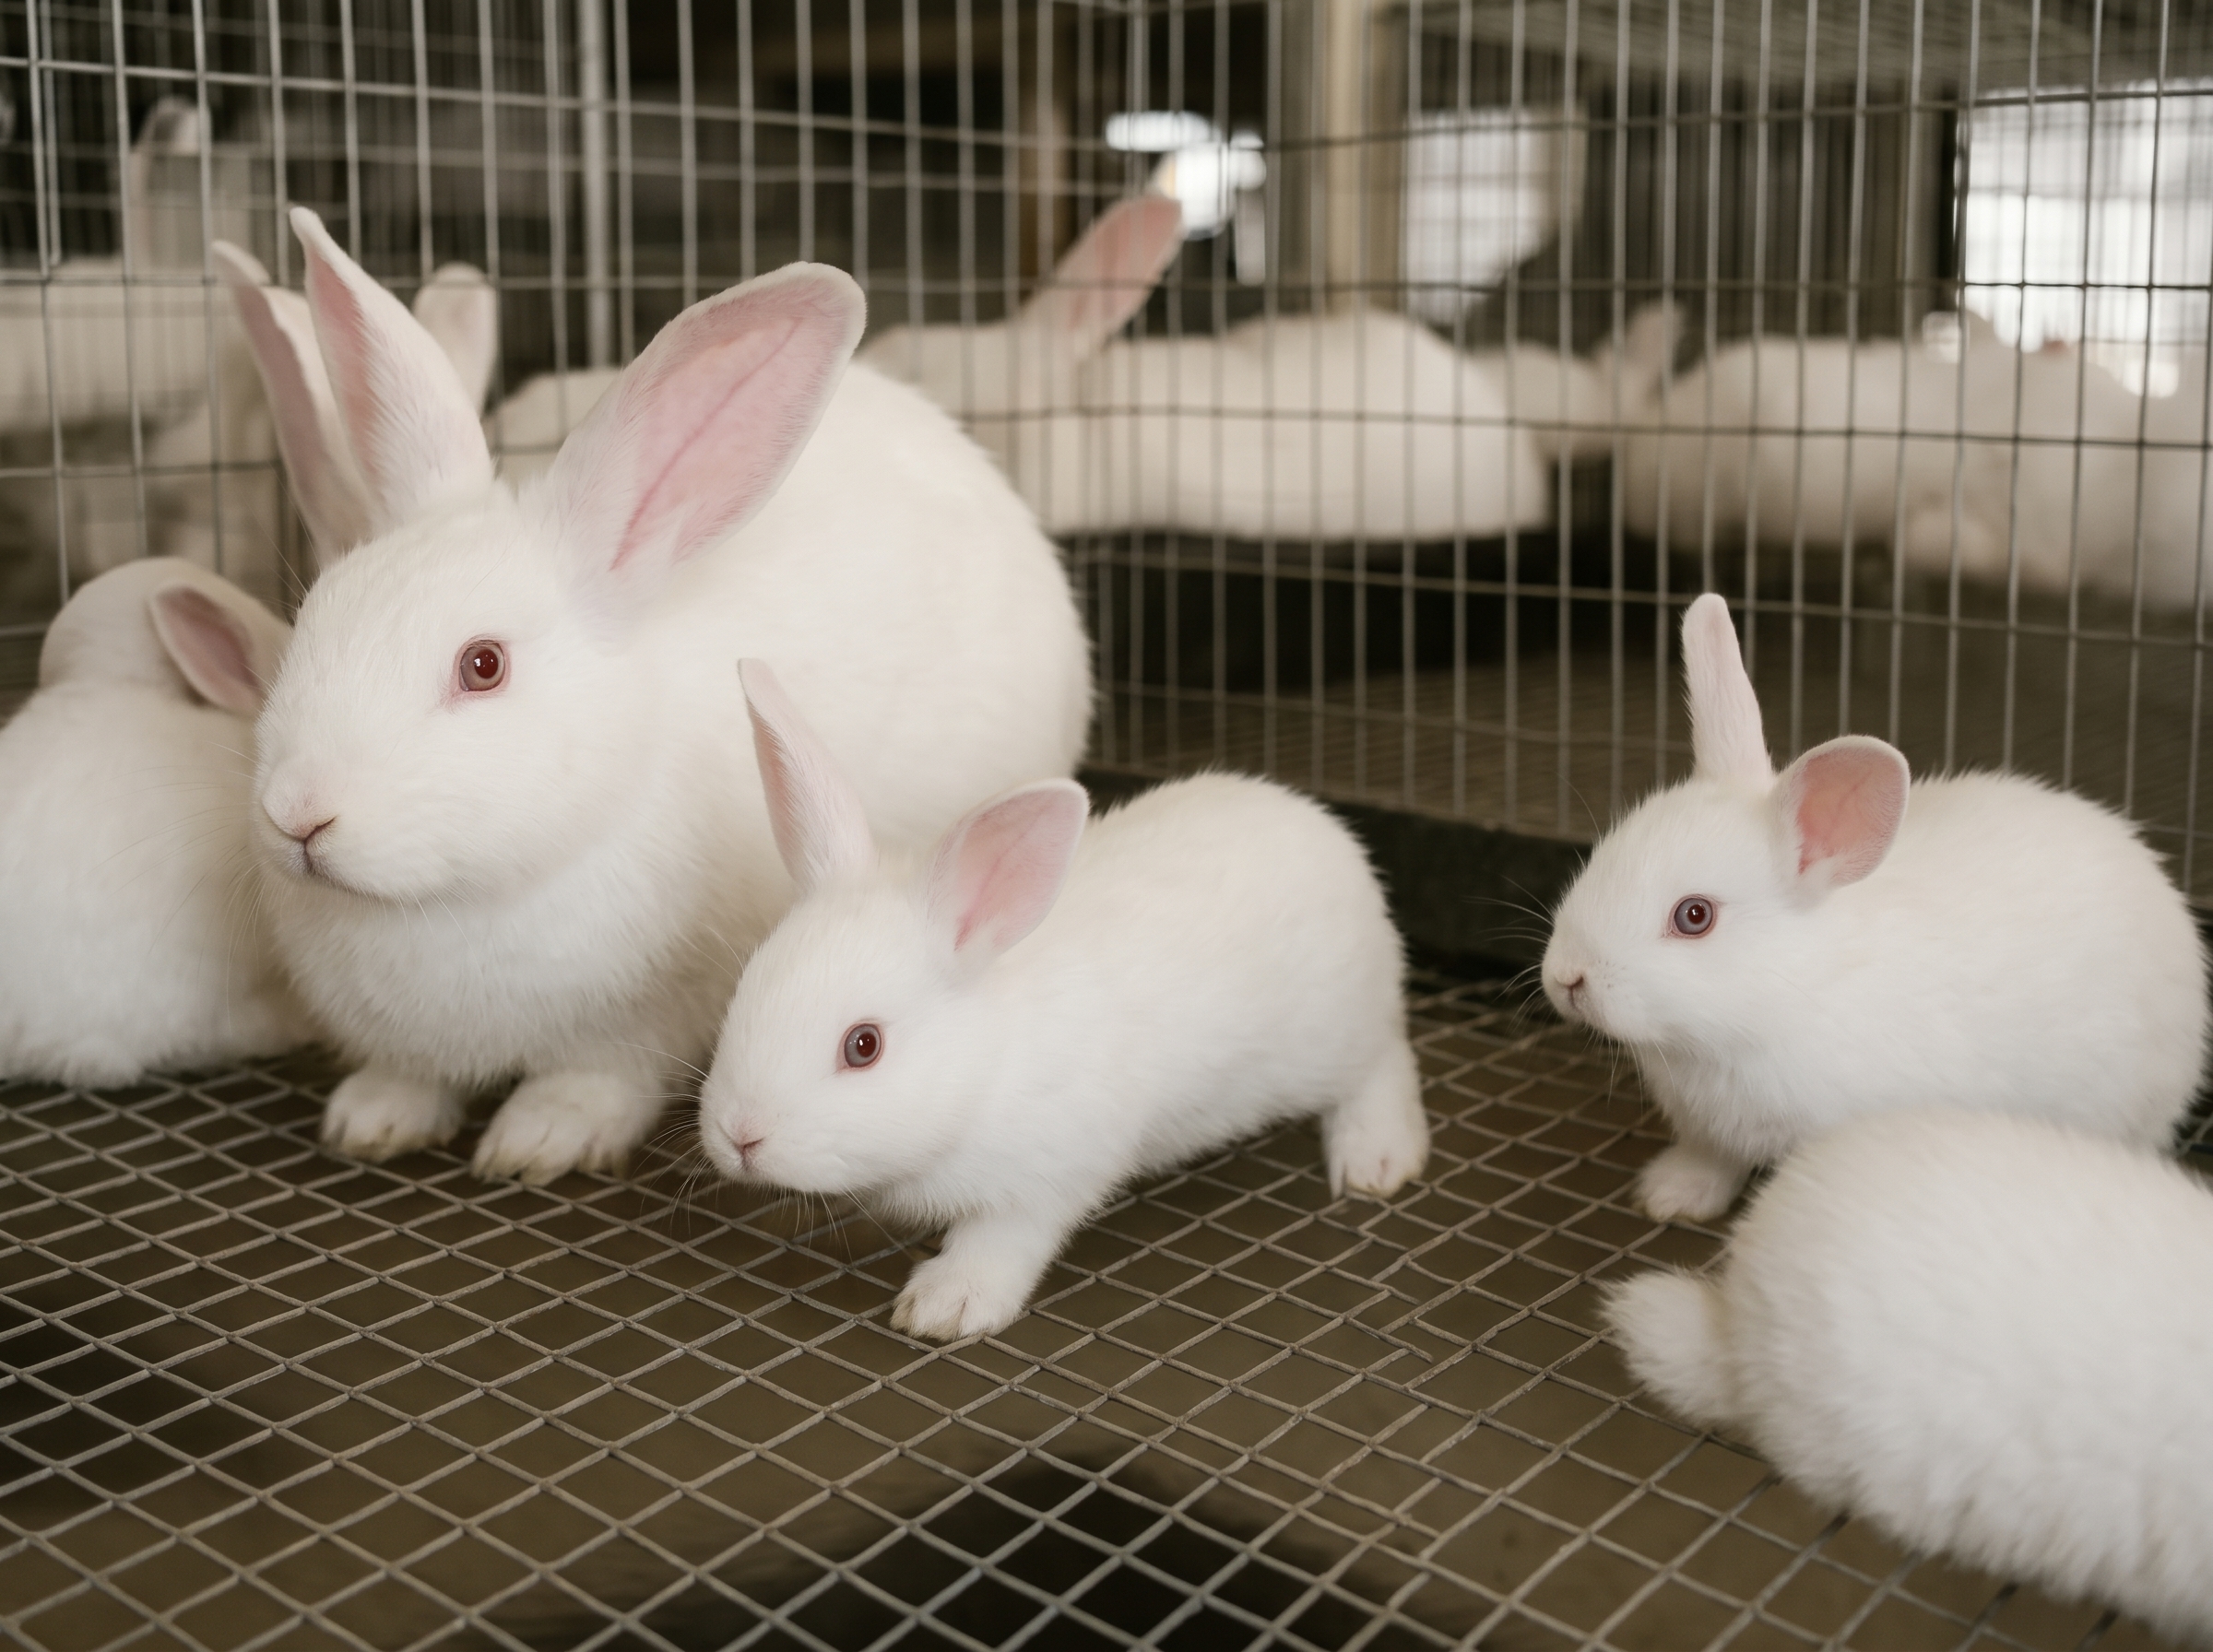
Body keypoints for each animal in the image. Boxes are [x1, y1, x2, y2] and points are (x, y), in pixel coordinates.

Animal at [248, 208, 1092, 1187]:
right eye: (312, 616)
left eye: (483, 666)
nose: (298, 814)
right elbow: (408, 1077)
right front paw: (371, 1118)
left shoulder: (647, 1015)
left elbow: (593, 1077)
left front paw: (539, 1140)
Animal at [697, 661, 1429, 1341]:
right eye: (742, 993)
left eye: (863, 1046)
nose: (740, 1137)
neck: (986, 1068)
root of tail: (1327, 831)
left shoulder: (1050, 1175)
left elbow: (1004, 1240)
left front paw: (944, 1306)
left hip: (1341, 1032)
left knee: (1384, 1063)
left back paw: (1376, 1160)